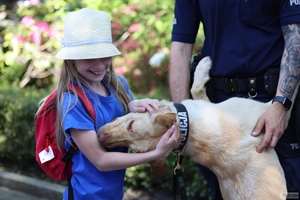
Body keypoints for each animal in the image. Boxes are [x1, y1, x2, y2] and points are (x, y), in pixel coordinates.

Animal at [99, 56, 292, 200]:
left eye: (131, 125)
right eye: (135, 151)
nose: (100, 137)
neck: (188, 131)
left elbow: (195, 88)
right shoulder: (269, 110)